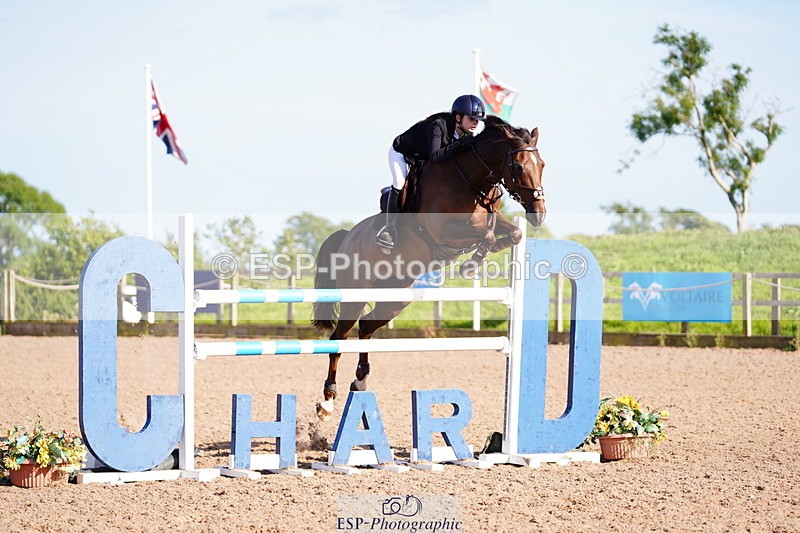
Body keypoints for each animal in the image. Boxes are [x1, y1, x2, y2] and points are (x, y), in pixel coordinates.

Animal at [311, 116, 546, 420]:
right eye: (518, 166)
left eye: (542, 165)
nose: (538, 214)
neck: (469, 181)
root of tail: (347, 237)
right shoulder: (444, 230)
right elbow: (487, 235)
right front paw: (472, 264)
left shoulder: (490, 219)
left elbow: (511, 233)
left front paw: (488, 252)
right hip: (355, 295)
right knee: (338, 339)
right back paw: (327, 400)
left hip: (397, 297)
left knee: (366, 327)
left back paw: (360, 381)